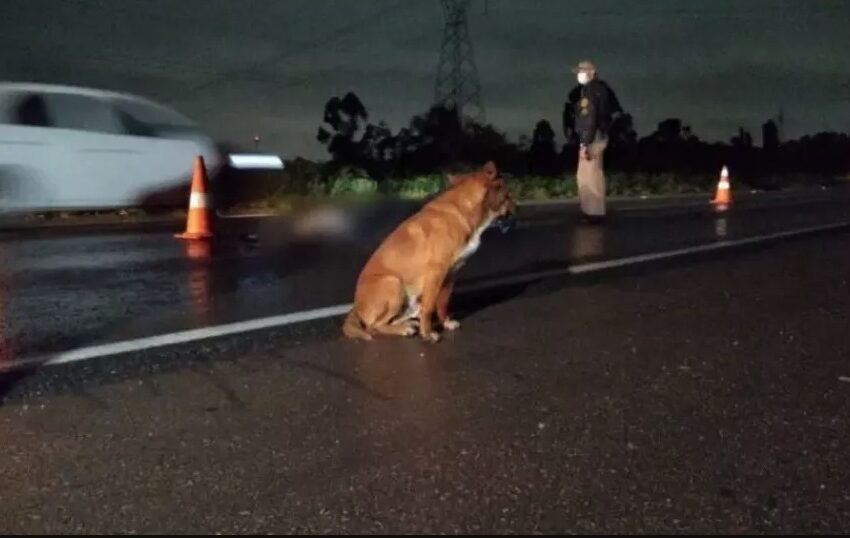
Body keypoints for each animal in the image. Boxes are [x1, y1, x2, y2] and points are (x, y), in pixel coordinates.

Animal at [342, 161, 512, 342]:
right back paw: (404, 329)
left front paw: (446, 323)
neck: (466, 211)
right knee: (374, 326)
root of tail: (355, 307)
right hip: (392, 283)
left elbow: (443, 304)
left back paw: (409, 323)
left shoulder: (451, 274)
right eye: (509, 195)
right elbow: (430, 307)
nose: (516, 207)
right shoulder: (436, 272)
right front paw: (428, 333)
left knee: (397, 318)